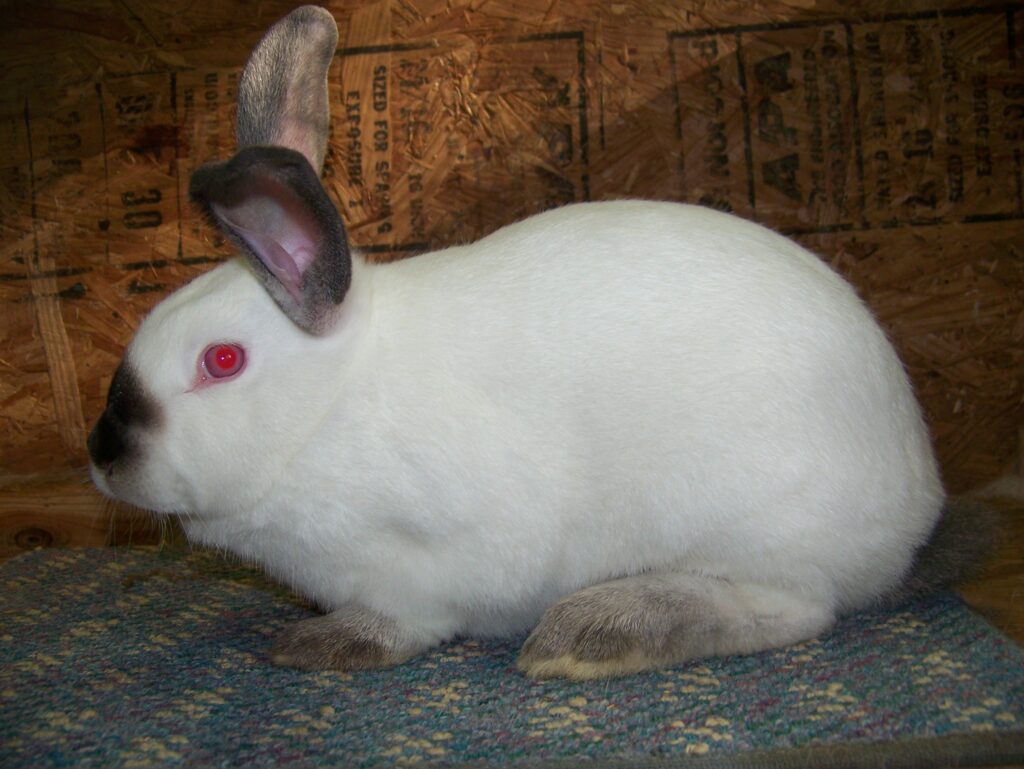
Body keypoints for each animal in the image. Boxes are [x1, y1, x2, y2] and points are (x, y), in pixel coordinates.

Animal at [87, 5, 994, 680]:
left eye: (221, 361)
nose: (103, 456)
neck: (328, 412)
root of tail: (917, 508)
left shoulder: (430, 560)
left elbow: (405, 618)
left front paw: (322, 644)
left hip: (758, 522)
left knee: (795, 609)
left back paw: (595, 632)